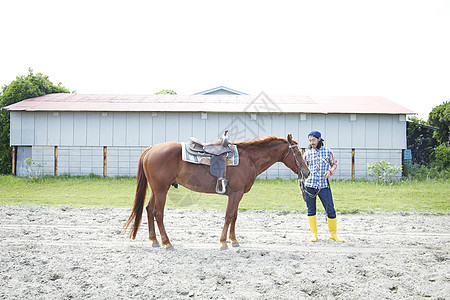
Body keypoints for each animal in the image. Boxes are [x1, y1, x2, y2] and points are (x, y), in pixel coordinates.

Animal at [121, 135, 310, 250]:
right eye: (297, 152)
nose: (307, 172)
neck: (248, 159)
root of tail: (150, 149)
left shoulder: (237, 194)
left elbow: (234, 216)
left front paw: (233, 240)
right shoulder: (235, 193)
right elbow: (228, 216)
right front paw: (223, 242)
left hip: (157, 189)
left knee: (149, 210)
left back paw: (154, 240)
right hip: (161, 190)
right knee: (158, 213)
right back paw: (167, 243)